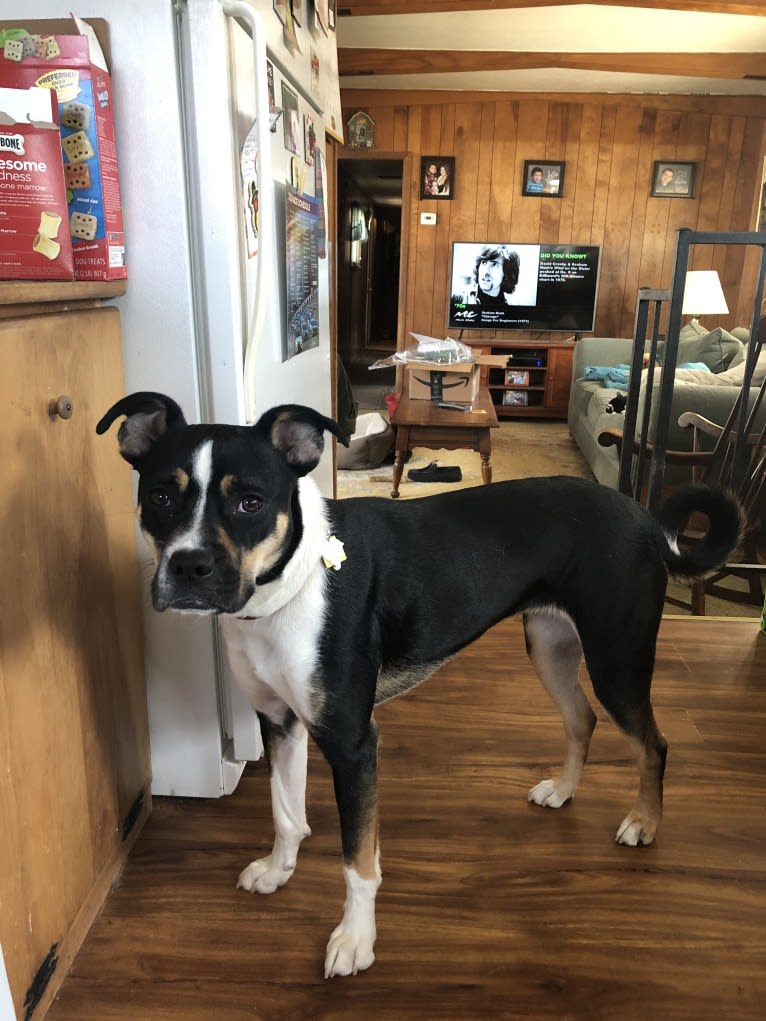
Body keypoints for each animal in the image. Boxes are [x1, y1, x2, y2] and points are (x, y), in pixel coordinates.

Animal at [97, 392, 743, 980]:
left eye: (250, 502)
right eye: (160, 497)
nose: (189, 567)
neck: (288, 587)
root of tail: (644, 517)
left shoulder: (354, 746)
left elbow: (358, 859)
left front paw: (355, 940)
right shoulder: (279, 723)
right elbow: (285, 812)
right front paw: (279, 872)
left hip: (617, 659)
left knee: (653, 744)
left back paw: (645, 824)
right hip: (550, 644)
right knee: (580, 718)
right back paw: (562, 790)